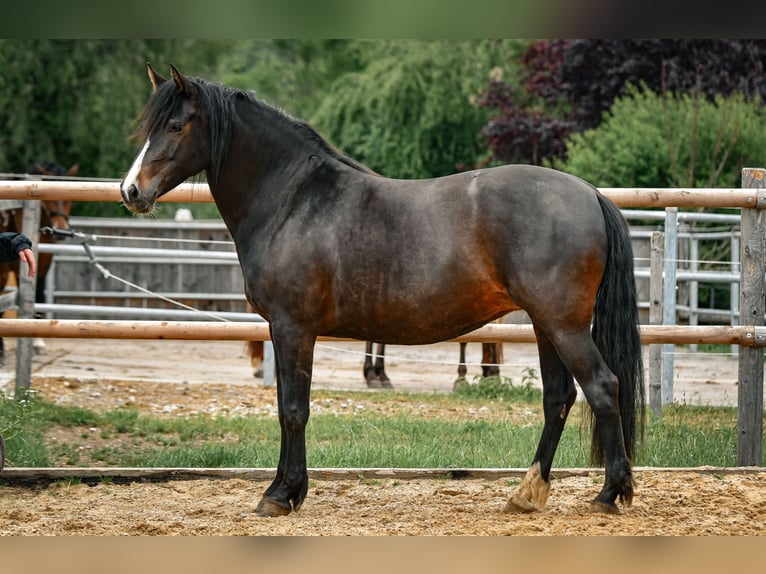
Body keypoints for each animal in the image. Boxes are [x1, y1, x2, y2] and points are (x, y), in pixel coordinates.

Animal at [0, 161, 77, 362]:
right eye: (48, 200)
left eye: (69, 198)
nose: (61, 229)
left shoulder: (42, 267)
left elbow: (38, 297)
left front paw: (38, 343)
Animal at [121, 64, 645, 517]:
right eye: (150, 126)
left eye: (175, 125)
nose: (131, 191)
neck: (295, 200)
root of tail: (590, 194)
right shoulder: (282, 331)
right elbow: (285, 406)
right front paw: (283, 489)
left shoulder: (293, 328)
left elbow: (293, 410)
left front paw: (283, 495)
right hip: (544, 324)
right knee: (558, 398)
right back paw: (527, 493)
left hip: (563, 324)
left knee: (603, 388)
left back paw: (609, 494)